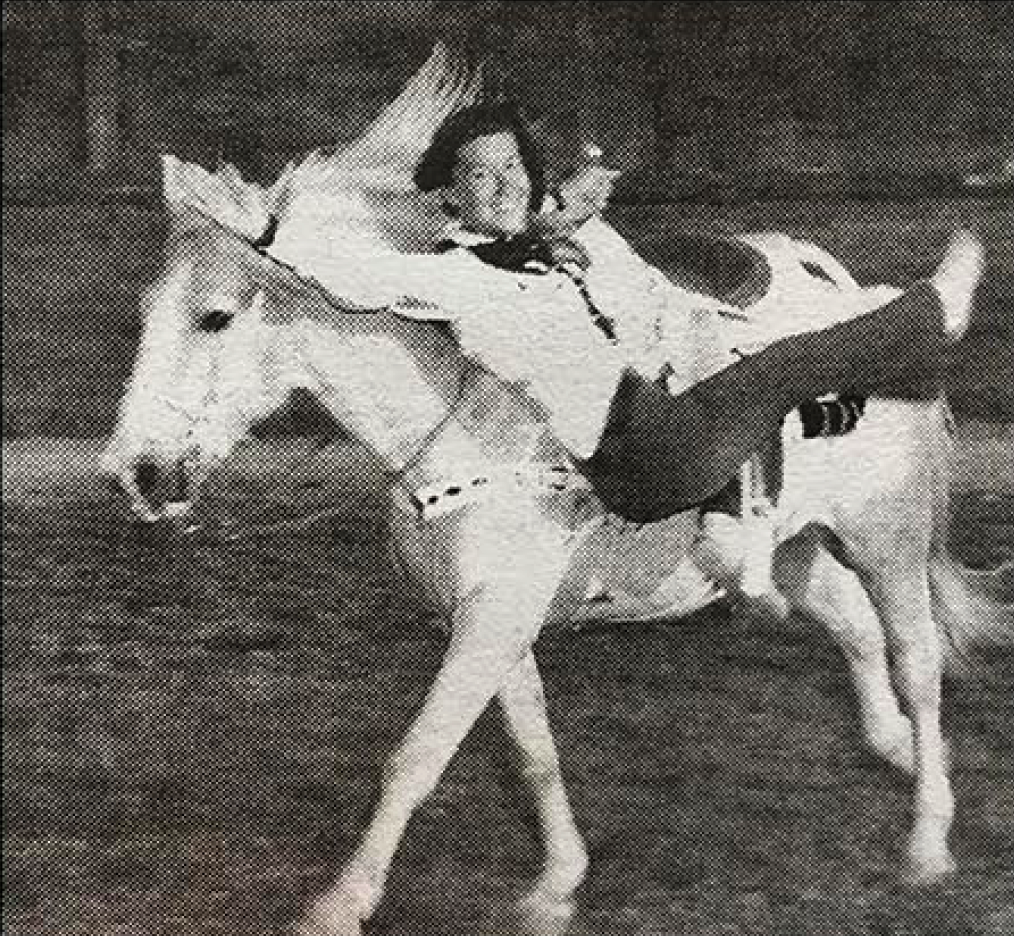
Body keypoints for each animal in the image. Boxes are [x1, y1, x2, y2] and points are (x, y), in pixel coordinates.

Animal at [100, 43, 1005, 936]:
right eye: (144, 310)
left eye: (215, 316)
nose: (135, 470)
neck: (467, 414)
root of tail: (859, 302)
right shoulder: (489, 617)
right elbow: (532, 749)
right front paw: (556, 884)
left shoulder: (493, 615)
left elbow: (417, 755)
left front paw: (339, 904)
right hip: (797, 548)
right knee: (855, 628)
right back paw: (893, 747)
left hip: (887, 538)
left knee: (917, 660)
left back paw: (928, 840)